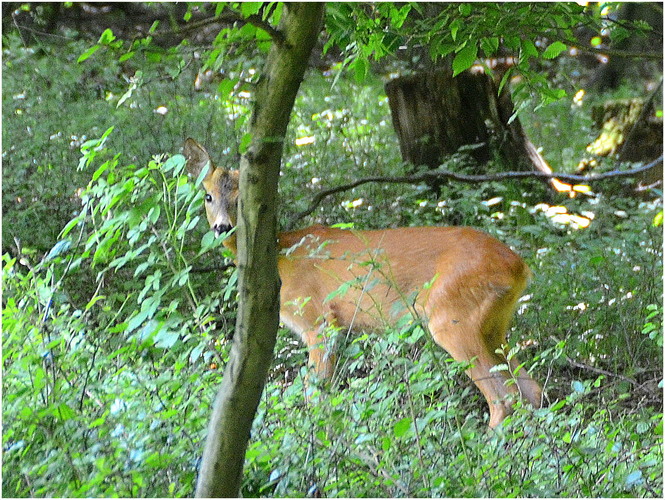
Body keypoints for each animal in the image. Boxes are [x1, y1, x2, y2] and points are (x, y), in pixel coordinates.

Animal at [184, 139, 544, 428]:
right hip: (494, 324)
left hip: (452, 316)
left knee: (504, 397)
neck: (282, 258)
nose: (222, 227)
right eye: (207, 196)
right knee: (532, 390)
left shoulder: (319, 321)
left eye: (241, 199)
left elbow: (316, 395)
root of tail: (519, 266)